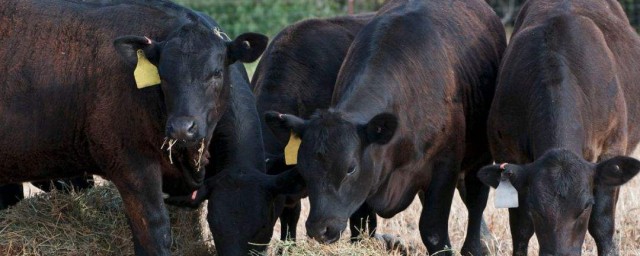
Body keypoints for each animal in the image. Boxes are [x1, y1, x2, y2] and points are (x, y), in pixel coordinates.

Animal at [264, 1, 504, 255]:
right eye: (302, 167)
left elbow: (433, 230)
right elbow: (361, 227)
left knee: (476, 200)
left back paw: (477, 246)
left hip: (481, 155)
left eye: (350, 168)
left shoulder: (445, 166)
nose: (320, 229)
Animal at [478, 1, 640, 255]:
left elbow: (602, 225)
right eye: (535, 207)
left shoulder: (612, 146)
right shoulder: (507, 152)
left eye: (586, 206)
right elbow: (520, 228)